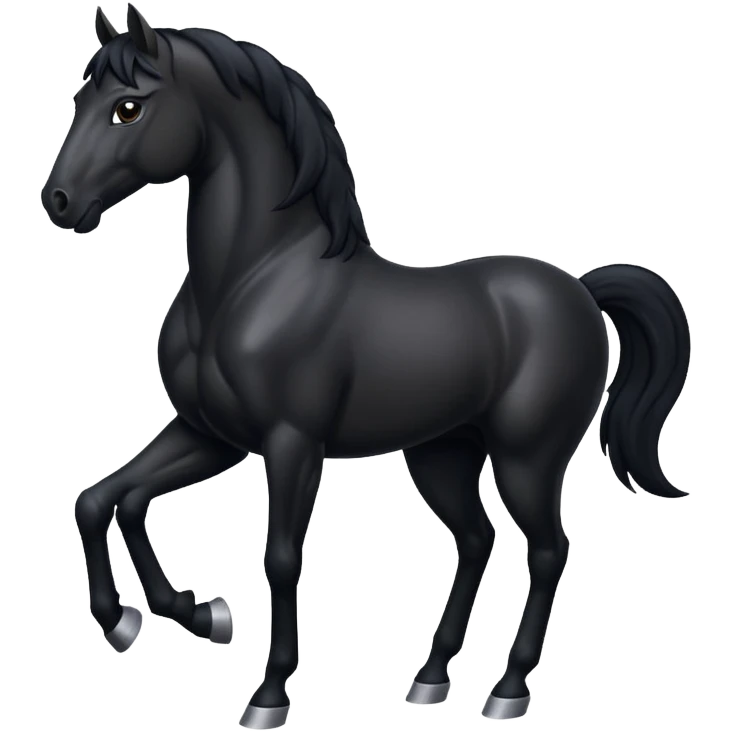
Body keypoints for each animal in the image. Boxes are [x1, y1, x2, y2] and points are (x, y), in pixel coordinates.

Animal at [45, 5, 692, 728]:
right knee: (475, 539)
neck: (253, 281)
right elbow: (105, 499)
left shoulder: (291, 444)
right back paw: (430, 679)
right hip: (443, 454)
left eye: (128, 107)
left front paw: (267, 694)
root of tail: (579, 289)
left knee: (549, 548)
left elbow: (279, 557)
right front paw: (173, 616)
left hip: (528, 457)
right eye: (81, 99)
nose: (59, 202)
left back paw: (507, 689)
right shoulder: (210, 434)